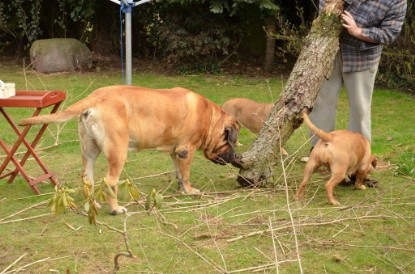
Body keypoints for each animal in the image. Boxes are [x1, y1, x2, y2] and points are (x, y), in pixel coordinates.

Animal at [20, 85, 240, 214]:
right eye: (230, 143)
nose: (235, 157)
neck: (210, 117)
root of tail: (95, 97)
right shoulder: (187, 150)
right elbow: (185, 174)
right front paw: (190, 190)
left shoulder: (176, 152)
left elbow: (178, 172)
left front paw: (181, 188)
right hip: (118, 150)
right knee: (110, 181)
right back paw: (115, 209)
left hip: (89, 150)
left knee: (87, 178)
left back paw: (94, 205)